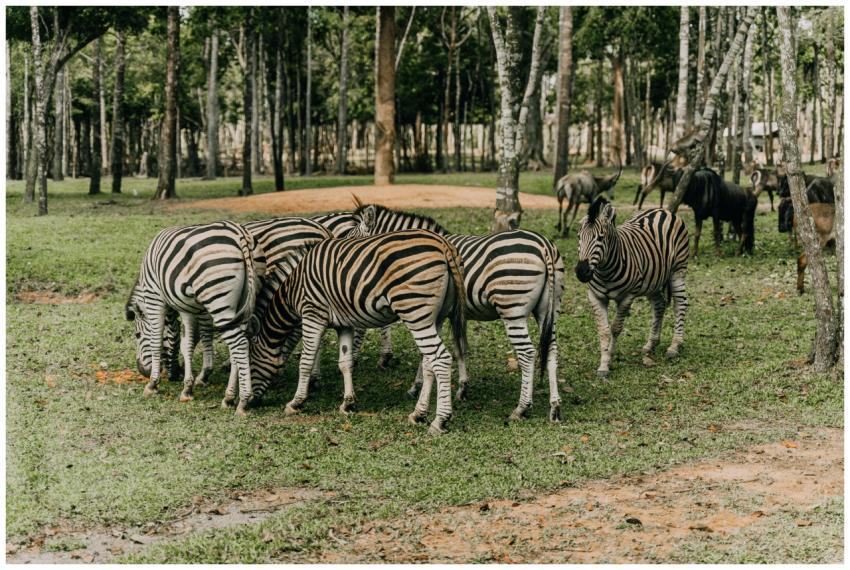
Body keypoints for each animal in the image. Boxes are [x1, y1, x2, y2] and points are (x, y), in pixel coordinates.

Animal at [126, 220, 257, 415]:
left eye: (137, 335)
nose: (142, 371)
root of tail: (239, 234)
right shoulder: (188, 308)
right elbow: (186, 344)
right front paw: (187, 388)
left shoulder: (154, 299)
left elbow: (156, 342)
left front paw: (152, 384)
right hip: (239, 304)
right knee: (239, 346)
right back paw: (229, 398)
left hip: (218, 299)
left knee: (239, 345)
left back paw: (244, 401)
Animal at [250, 229, 468, 435]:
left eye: (250, 363)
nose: (250, 403)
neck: (294, 288)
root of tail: (442, 243)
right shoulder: (344, 324)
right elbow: (345, 363)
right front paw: (348, 403)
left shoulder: (313, 313)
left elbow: (305, 362)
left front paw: (296, 402)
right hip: (436, 318)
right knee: (430, 363)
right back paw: (418, 414)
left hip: (415, 311)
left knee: (441, 358)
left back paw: (440, 421)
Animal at [351, 203, 565, 422]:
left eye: (351, 238)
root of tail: (544, 246)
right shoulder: (454, 314)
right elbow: (459, 348)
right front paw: (462, 388)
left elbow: (432, 352)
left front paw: (416, 388)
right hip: (549, 310)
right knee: (552, 350)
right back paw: (554, 407)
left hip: (512, 308)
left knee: (527, 353)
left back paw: (521, 408)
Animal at [575, 197, 689, 378]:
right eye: (579, 236)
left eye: (600, 238)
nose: (582, 272)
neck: (605, 271)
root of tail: (662, 210)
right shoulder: (595, 297)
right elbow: (603, 330)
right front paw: (604, 364)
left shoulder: (627, 297)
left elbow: (615, 328)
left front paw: (609, 357)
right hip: (652, 281)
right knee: (659, 304)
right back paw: (651, 344)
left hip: (678, 271)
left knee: (680, 305)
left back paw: (675, 346)